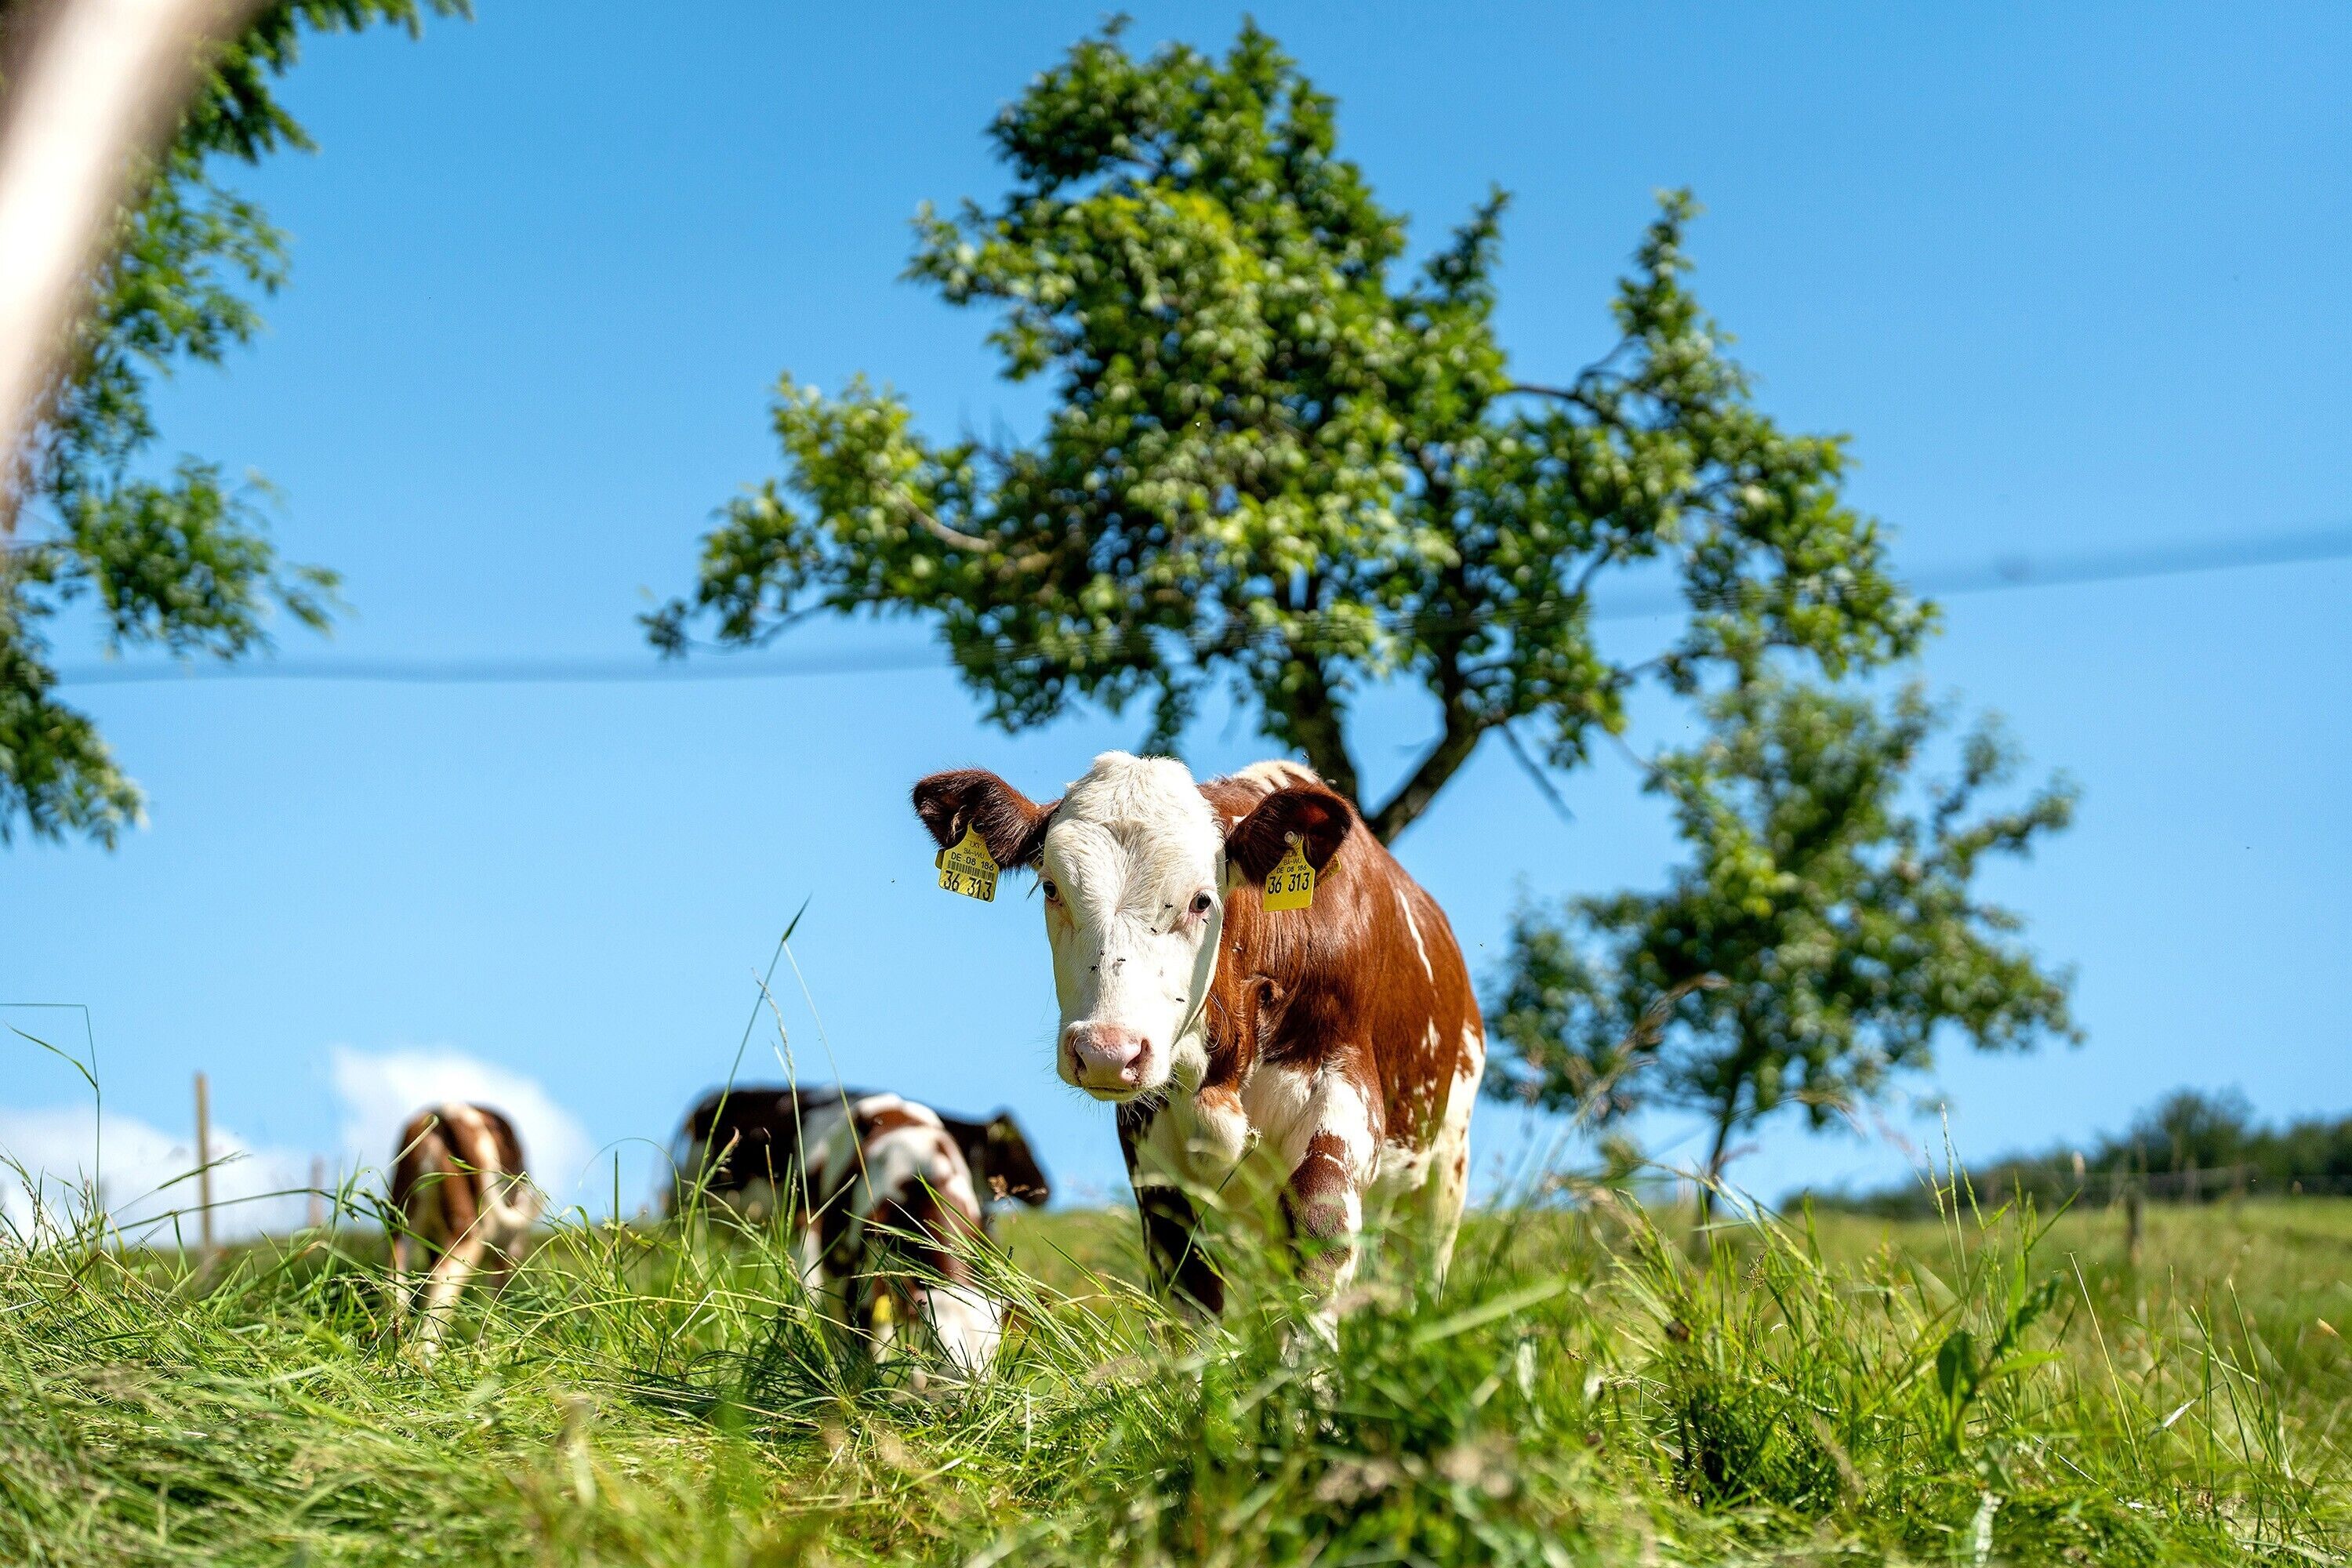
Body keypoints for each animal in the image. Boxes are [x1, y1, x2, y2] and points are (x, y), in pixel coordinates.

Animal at [388, 1103, 542, 1353]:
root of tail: (450, 1110)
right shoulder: (509, 1250)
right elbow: (498, 1300)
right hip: (468, 1234)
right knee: (439, 1289)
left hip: (400, 1222)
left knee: (395, 1284)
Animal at [912, 752, 1483, 1323]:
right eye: (1052, 888)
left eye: (1201, 900)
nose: (1106, 1053)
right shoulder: (1155, 1169)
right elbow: (1188, 1294)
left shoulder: (1341, 1097)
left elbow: (1318, 1253)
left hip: (1443, 1168)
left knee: (1418, 1274)